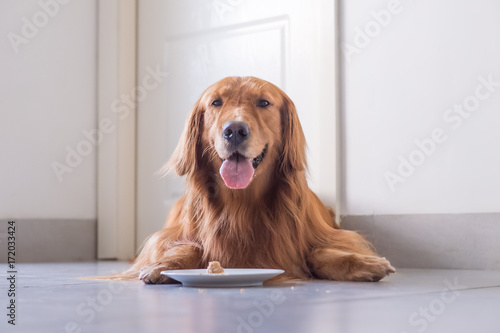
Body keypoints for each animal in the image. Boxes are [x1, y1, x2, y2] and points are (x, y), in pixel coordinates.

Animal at [111, 76, 392, 282]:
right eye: (216, 102)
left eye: (264, 103)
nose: (235, 130)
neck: (241, 202)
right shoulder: (175, 236)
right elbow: (189, 247)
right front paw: (162, 266)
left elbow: (318, 251)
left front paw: (364, 263)